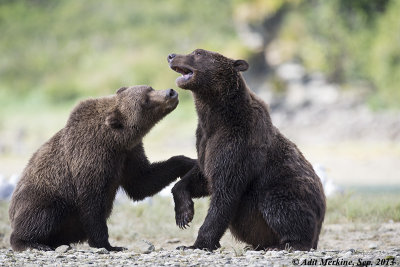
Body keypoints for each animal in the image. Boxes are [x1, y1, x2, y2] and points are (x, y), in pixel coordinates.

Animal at [8, 86, 196, 253]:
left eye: (149, 88)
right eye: (145, 101)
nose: (170, 92)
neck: (114, 140)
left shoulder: (128, 154)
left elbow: (142, 181)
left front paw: (190, 161)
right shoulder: (91, 158)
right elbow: (93, 203)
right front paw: (109, 245)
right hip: (44, 196)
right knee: (43, 215)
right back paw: (33, 243)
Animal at [167, 49, 326, 252]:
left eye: (198, 53)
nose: (171, 56)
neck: (217, 117)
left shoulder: (240, 144)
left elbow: (224, 194)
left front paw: (197, 244)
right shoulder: (205, 141)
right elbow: (201, 176)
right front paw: (184, 214)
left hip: (289, 191)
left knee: (279, 205)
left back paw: (286, 244)